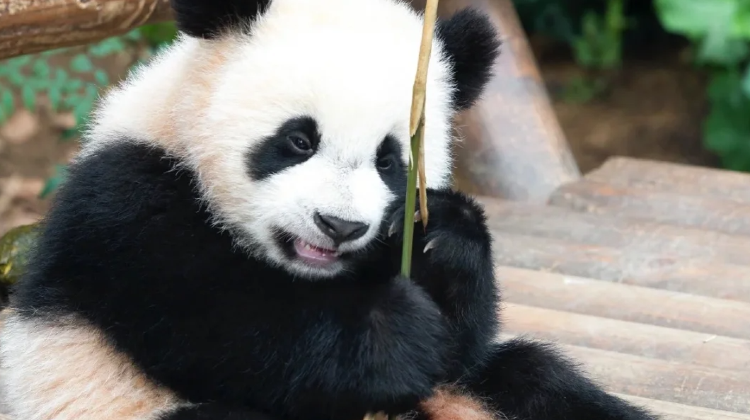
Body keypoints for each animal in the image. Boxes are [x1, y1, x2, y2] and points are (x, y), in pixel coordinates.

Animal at [0, 0, 659, 419]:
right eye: (298, 140)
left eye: (390, 159)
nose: (340, 227)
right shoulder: (126, 201)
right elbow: (227, 323)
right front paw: (395, 333)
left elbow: (462, 345)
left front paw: (445, 241)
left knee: (533, 380)